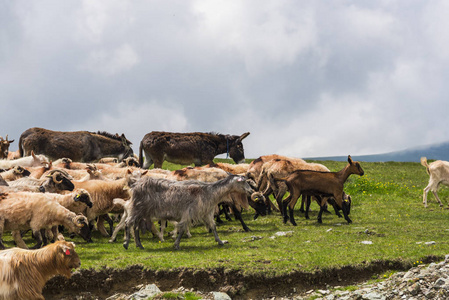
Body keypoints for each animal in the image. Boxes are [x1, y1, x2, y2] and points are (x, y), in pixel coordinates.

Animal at [122, 175, 254, 250]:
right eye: (243, 182)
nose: (251, 191)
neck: (209, 192)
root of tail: (135, 184)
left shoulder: (206, 212)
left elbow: (213, 226)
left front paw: (220, 241)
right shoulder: (189, 211)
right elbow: (182, 228)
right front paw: (176, 245)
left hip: (142, 211)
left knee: (135, 227)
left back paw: (139, 245)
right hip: (136, 208)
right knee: (128, 223)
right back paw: (126, 244)